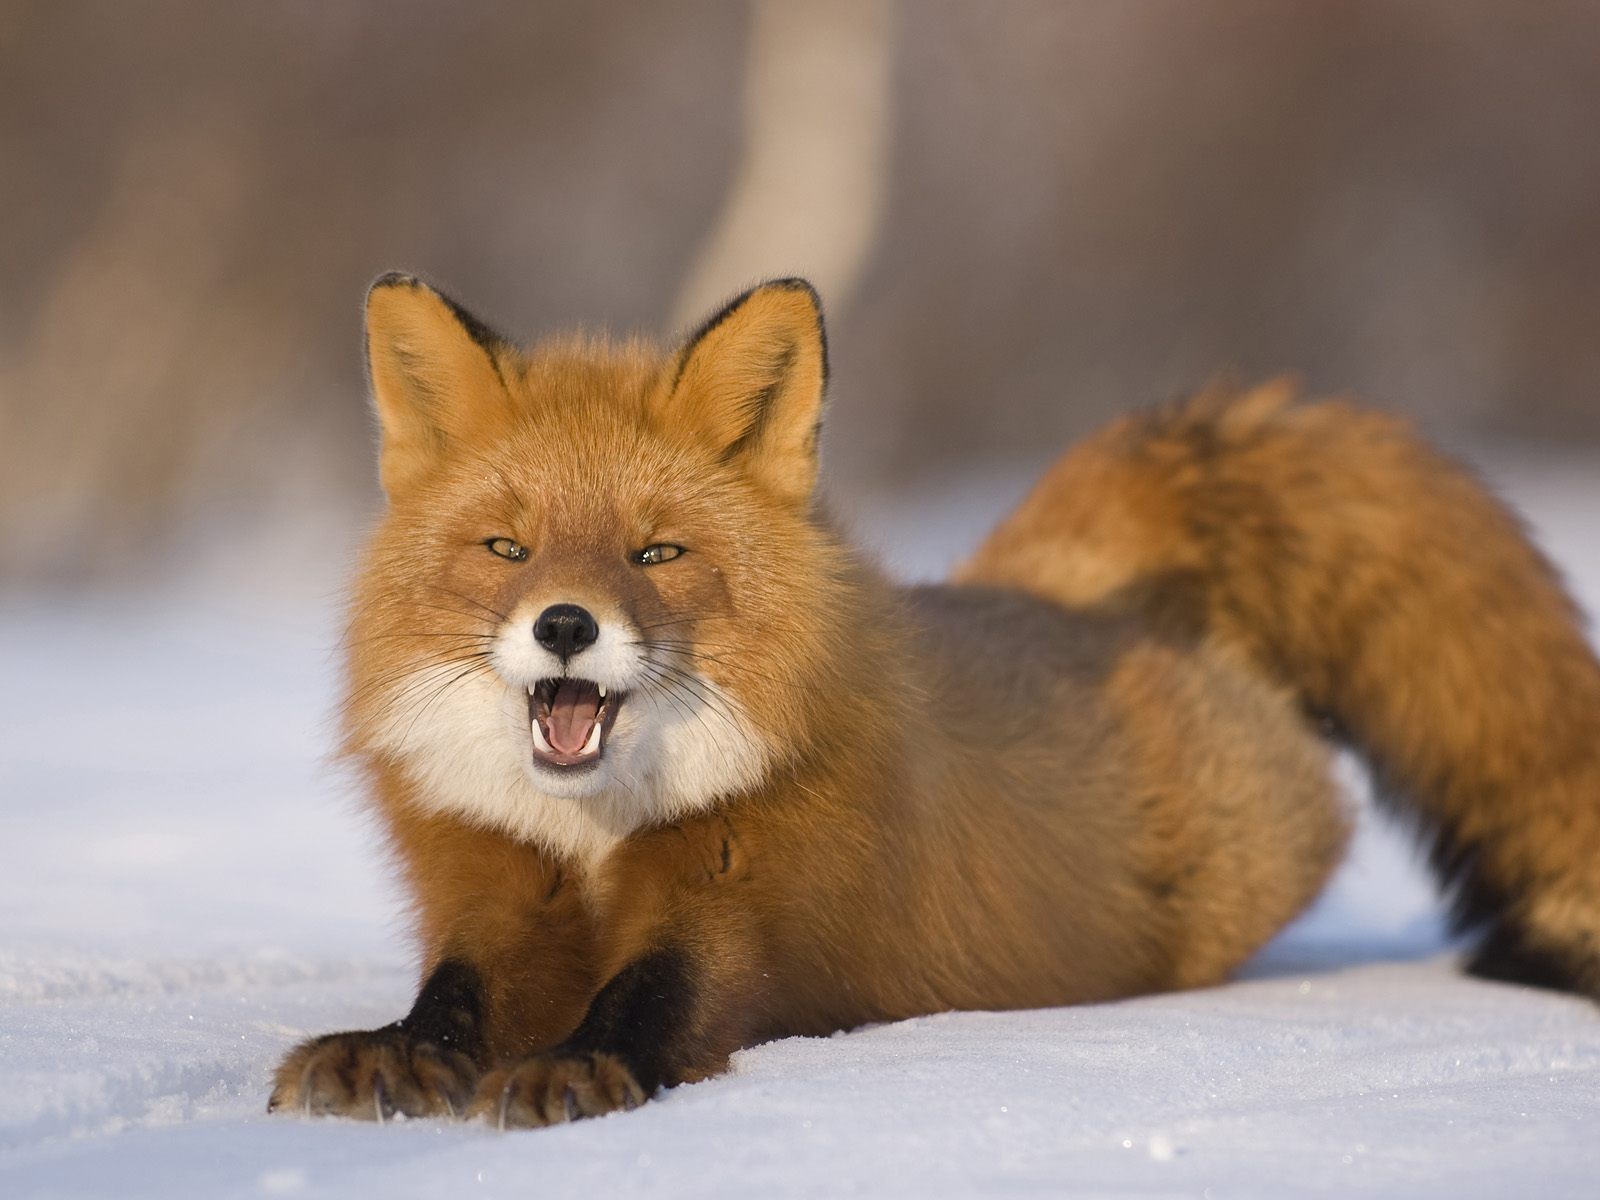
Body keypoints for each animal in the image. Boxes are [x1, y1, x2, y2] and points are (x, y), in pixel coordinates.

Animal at [270, 273, 1600, 1127]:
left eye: (655, 554)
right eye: (507, 549)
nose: (563, 624)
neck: (595, 835)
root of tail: (1059, 593)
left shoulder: (748, 900)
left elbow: (653, 998)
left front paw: (577, 1069)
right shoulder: (492, 885)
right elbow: (454, 995)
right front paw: (393, 1056)